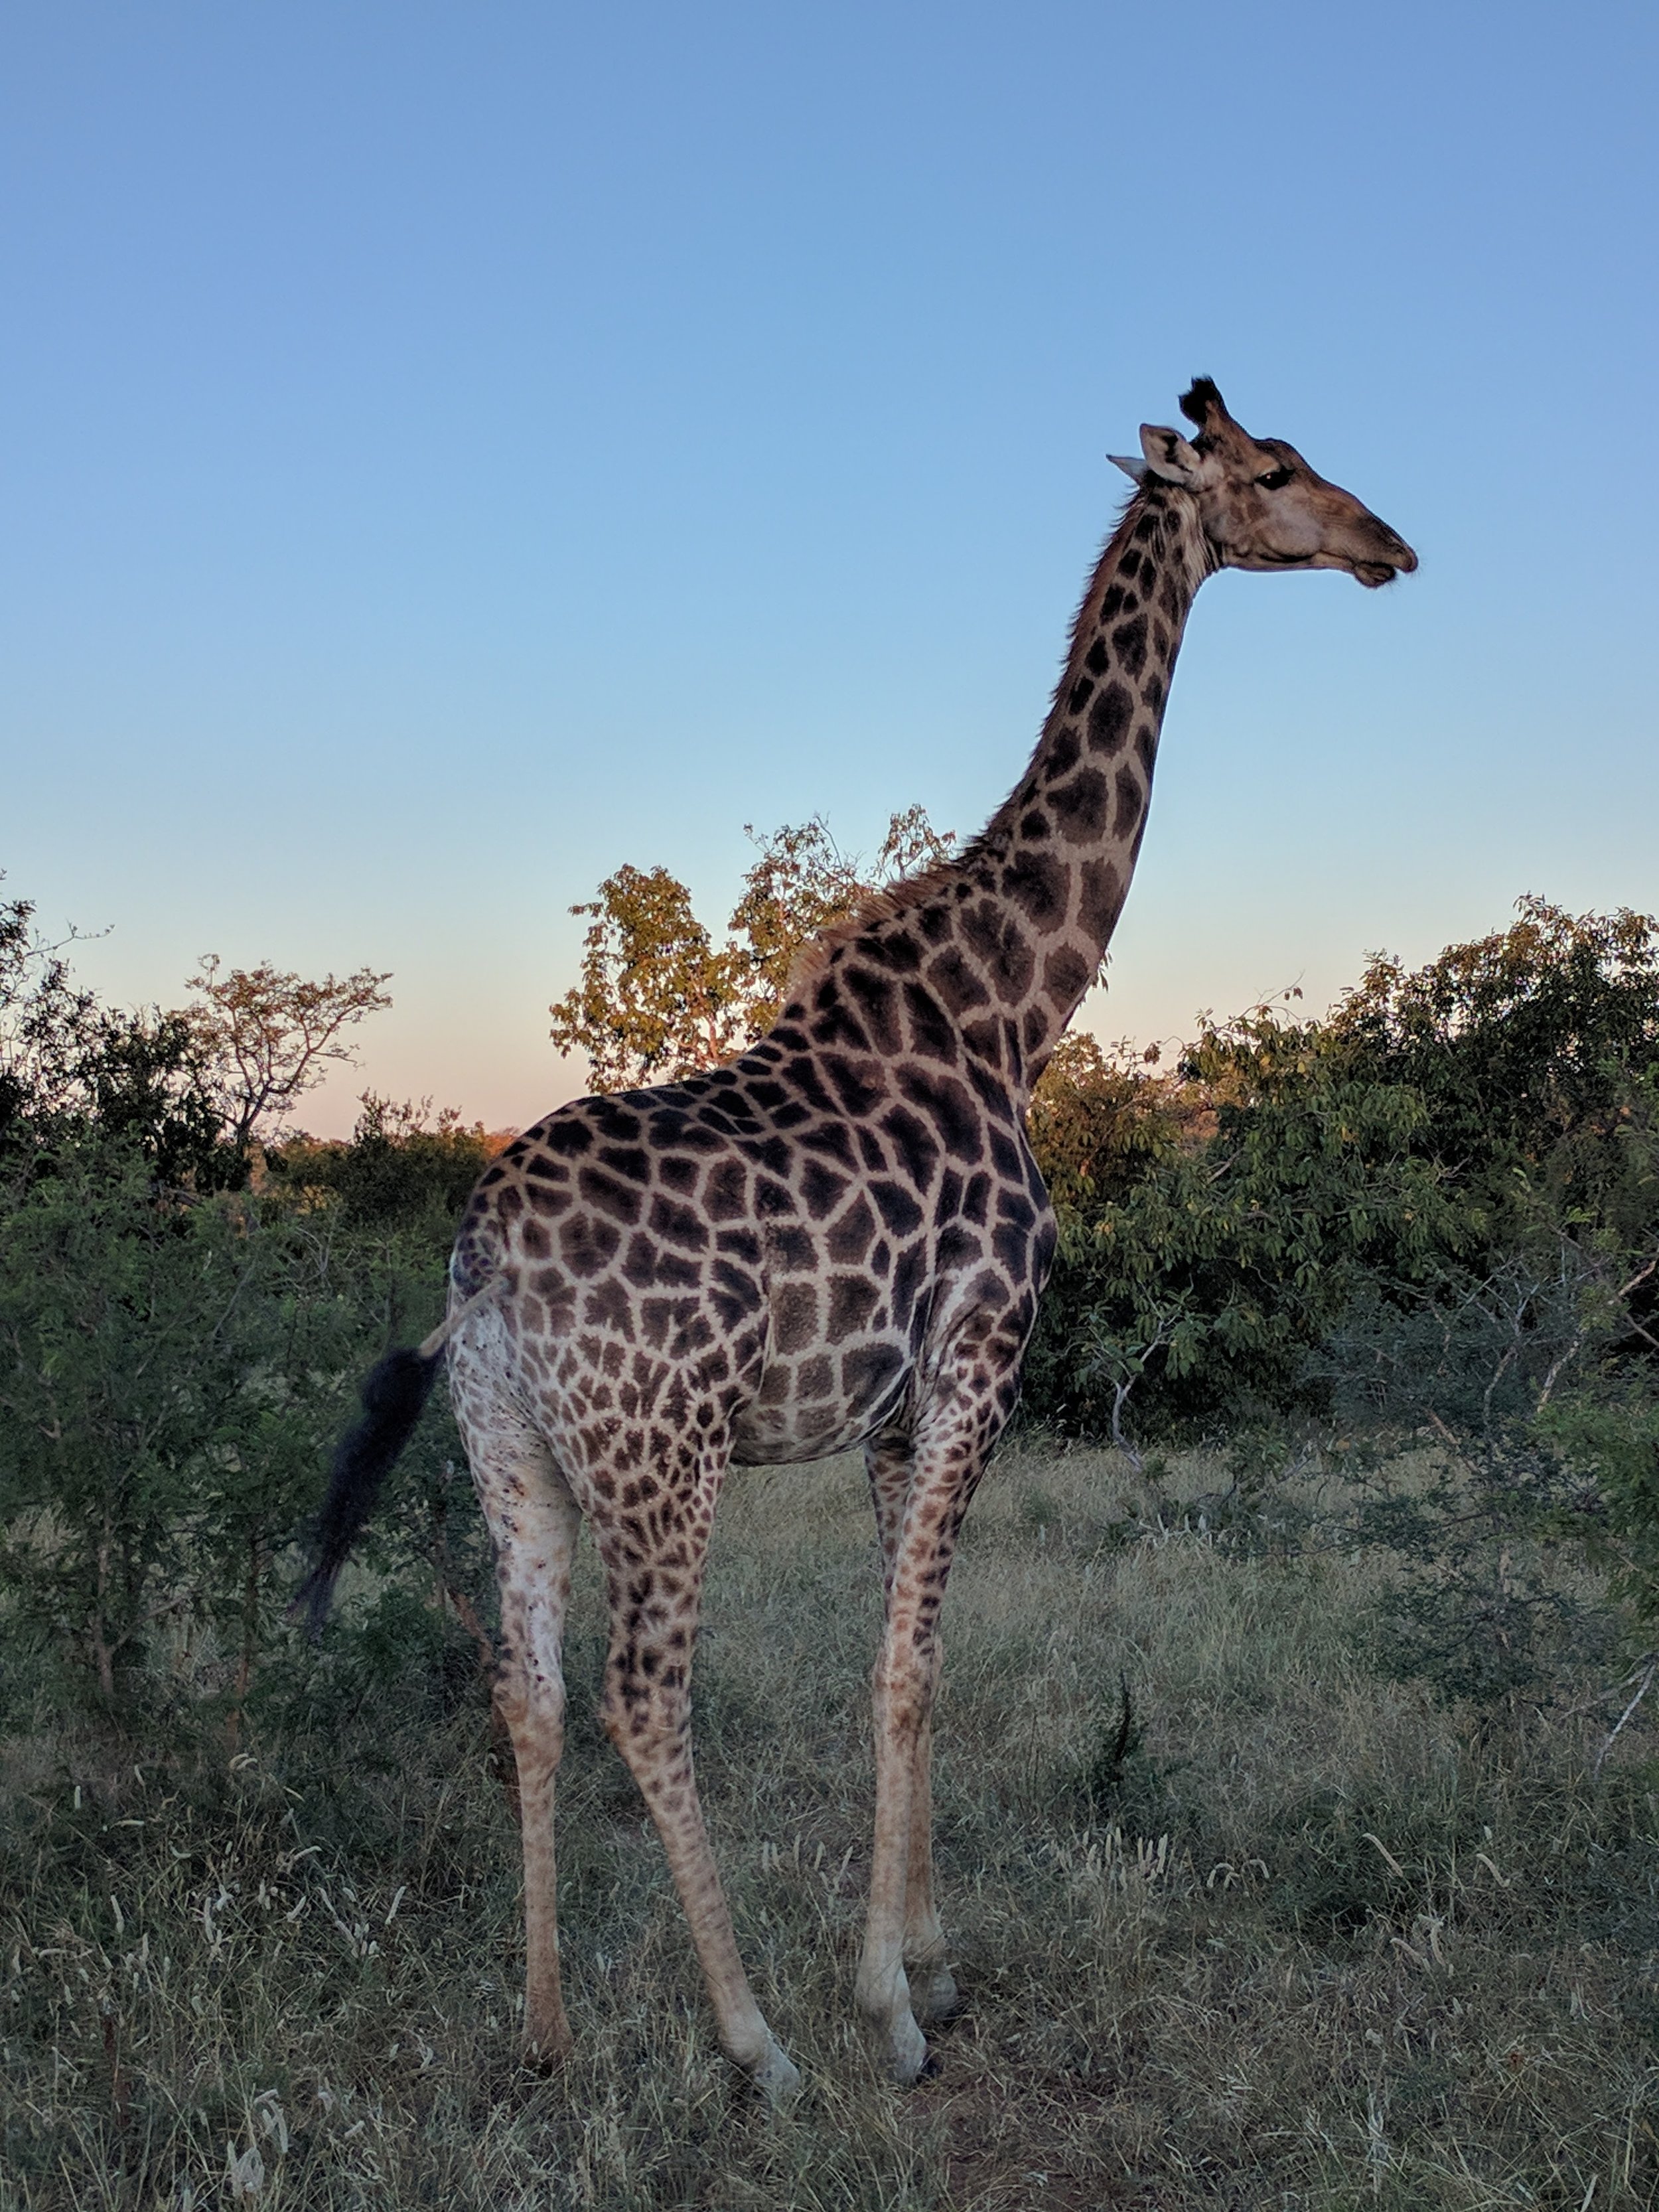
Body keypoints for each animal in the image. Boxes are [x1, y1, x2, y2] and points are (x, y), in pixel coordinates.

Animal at [304, 378, 1415, 2098]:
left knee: (525, 1685)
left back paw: (548, 2029)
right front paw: (889, 2004)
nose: (1390, 547)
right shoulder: (979, 1366)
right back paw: (755, 2043)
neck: (1010, 1010)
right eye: (1279, 467)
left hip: (509, 1445)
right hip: (662, 1450)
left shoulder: (892, 1418)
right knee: (642, 1695)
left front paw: (931, 1967)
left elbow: (900, 1666)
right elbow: (903, 1667)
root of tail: (481, 1264)